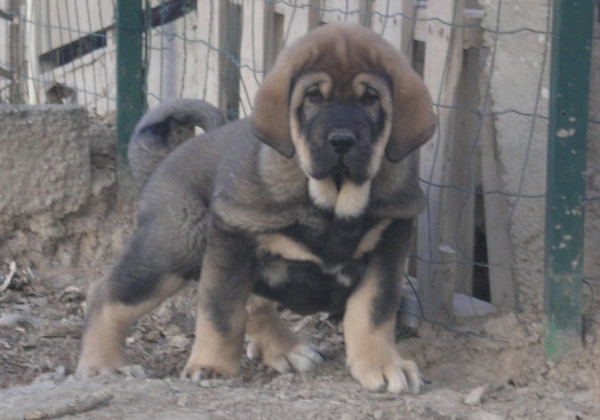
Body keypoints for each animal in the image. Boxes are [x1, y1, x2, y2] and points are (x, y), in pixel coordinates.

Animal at [78, 23, 436, 394]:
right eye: (314, 97)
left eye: (370, 99)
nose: (341, 140)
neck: (333, 202)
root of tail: (162, 162)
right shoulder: (232, 236)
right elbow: (221, 310)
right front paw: (212, 365)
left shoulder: (389, 243)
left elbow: (373, 310)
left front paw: (382, 363)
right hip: (175, 247)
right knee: (108, 295)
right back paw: (104, 364)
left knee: (255, 302)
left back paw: (283, 348)